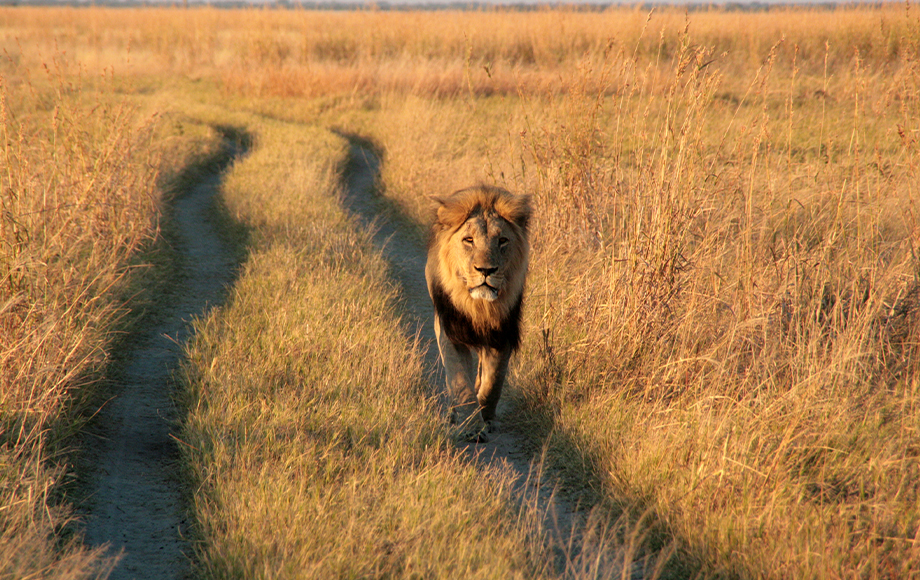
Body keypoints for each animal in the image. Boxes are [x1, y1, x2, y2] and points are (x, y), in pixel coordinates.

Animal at [424, 184, 532, 442]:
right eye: (468, 240)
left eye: (502, 240)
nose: (486, 270)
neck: (480, 307)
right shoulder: (450, 331)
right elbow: (460, 381)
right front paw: (471, 427)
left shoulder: (502, 333)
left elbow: (493, 382)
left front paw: (486, 418)